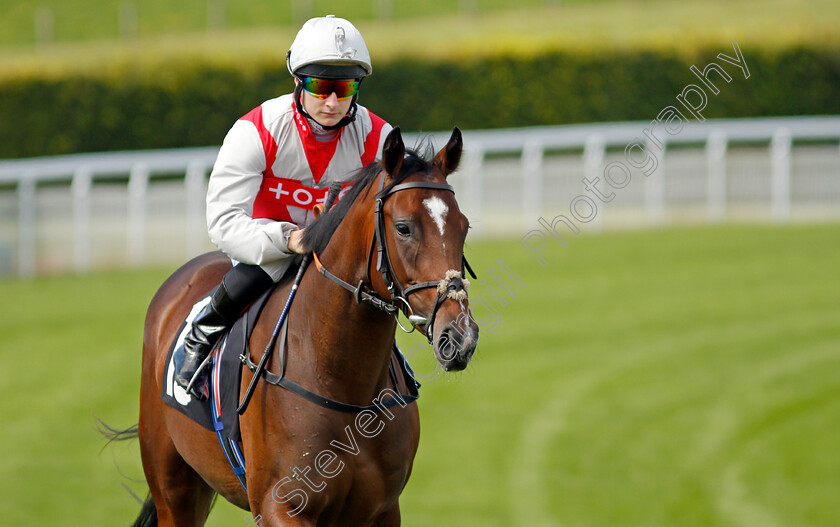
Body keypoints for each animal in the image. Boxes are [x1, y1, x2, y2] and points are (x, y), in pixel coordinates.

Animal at [132, 129, 480, 527]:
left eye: (464, 226)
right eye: (404, 227)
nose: (460, 336)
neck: (341, 382)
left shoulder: (382, 509)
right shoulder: (279, 505)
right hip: (174, 490)